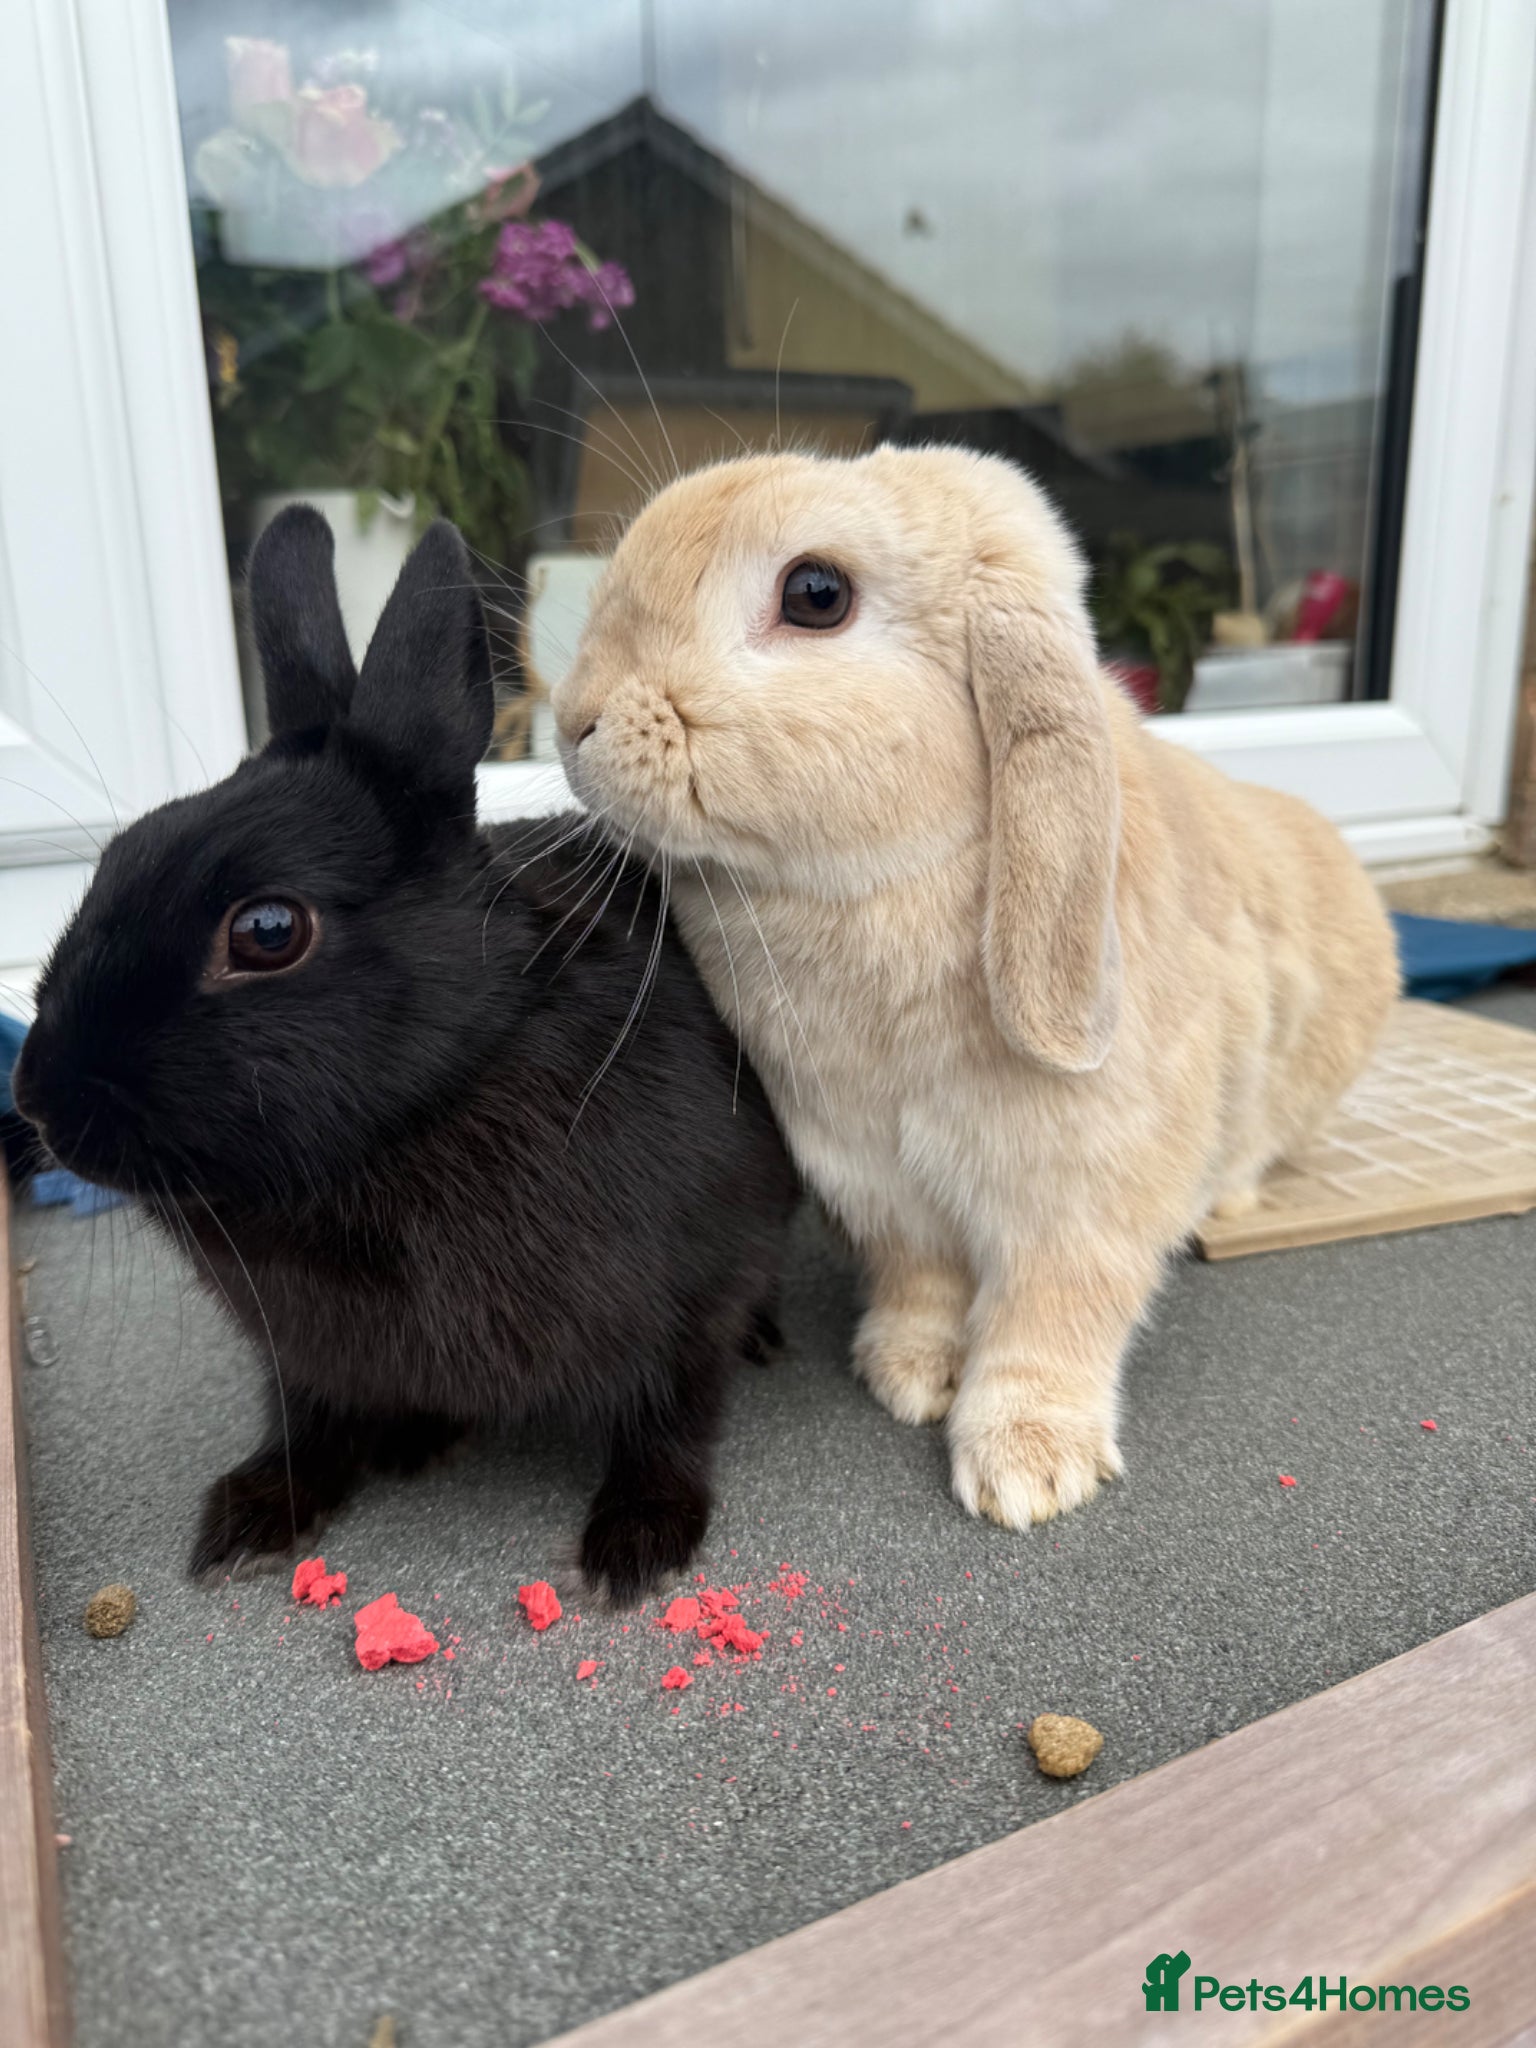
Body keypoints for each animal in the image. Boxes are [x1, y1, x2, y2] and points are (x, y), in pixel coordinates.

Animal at [11, 507, 797, 1601]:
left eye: (266, 930)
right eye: (117, 854)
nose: (40, 1100)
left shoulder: (694, 1296)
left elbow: (669, 1420)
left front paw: (635, 1546)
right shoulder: (300, 1354)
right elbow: (302, 1424)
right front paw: (250, 1517)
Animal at [550, 446, 1400, 1530]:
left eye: (816, 594)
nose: (573, 718)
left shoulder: (1080, 1199)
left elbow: (1051, 1317)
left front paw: (1026, 1469)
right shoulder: (876, 1183)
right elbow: (921, 1282)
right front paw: (906, 1375)